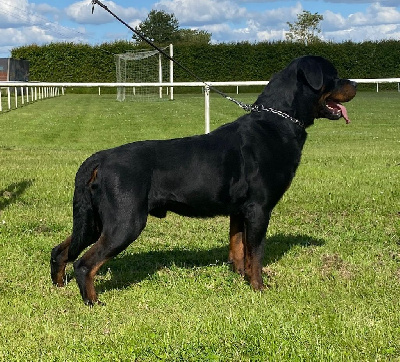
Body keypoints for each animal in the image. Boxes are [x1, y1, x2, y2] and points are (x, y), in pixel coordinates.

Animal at [50, 55, 356, 304]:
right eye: (333, 75)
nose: (354, 84)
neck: (277, 123)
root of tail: (100, 158)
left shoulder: (239, 210)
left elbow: (238, 247)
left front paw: (240, 276)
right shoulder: (259, 208)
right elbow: (256, 253)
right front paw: (259, 287)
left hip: (95, 220)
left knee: (61, 250)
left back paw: (58, 285)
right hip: (125, 221)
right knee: (85, 263)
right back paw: (92, 301)